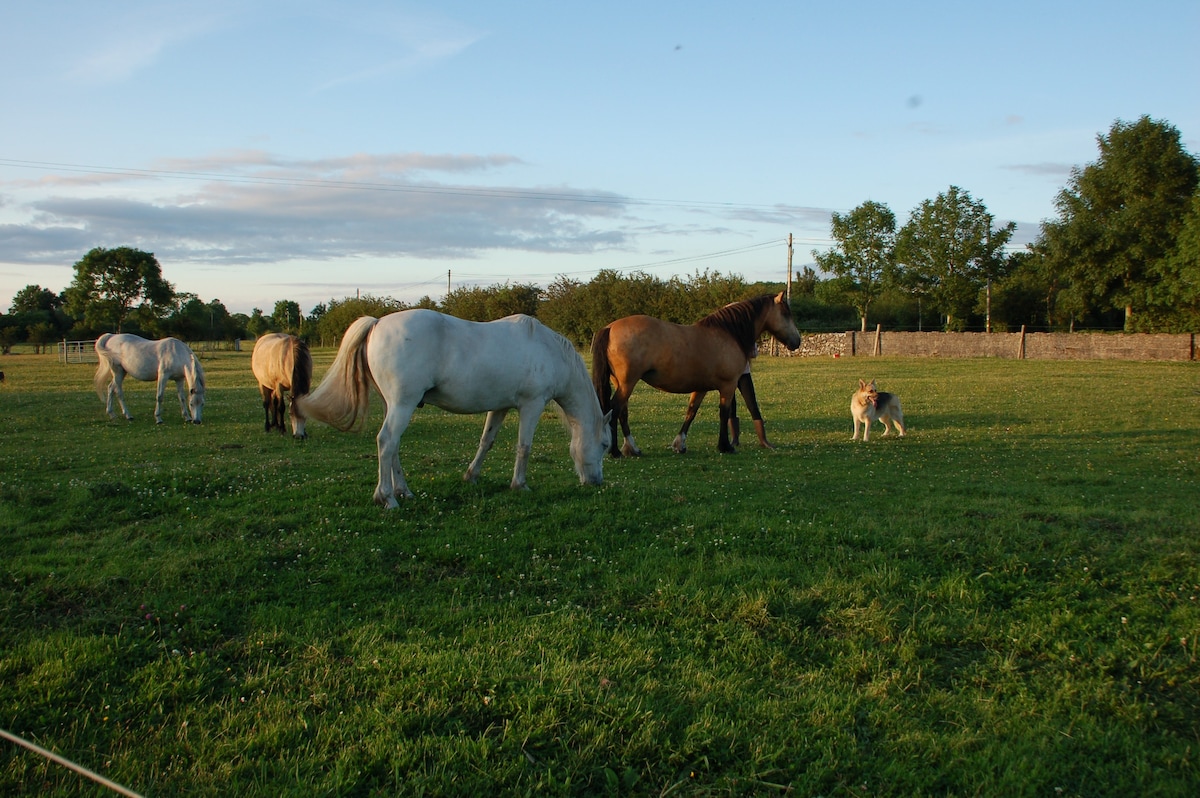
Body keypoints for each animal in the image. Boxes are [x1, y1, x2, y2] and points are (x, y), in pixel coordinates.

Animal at [291, 307, 609, 506]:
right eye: (605, 445)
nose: (597, 482)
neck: (548, 351)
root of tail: (378, 322)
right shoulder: (531, 405)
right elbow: (524, 447)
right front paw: (520, 484)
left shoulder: (500, 406)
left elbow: (486, 442)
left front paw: (471, 476)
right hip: (403, 404)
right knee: (386, 442)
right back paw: (388, 498)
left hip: (393, 405)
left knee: (393, 448)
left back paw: (404, 491)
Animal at [588, 291, 801, 453]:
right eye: (786, 313)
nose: (797, 341)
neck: (728, 334)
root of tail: (610, 327)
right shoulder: (728, 385)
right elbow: (724, 413)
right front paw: (725, 446)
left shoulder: (701, 388)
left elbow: (691, 412)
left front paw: (679, 444)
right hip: (628, 383)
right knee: (614, 408)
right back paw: (616, 451)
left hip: (621, 383)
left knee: (622, 411)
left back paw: (632, 448)